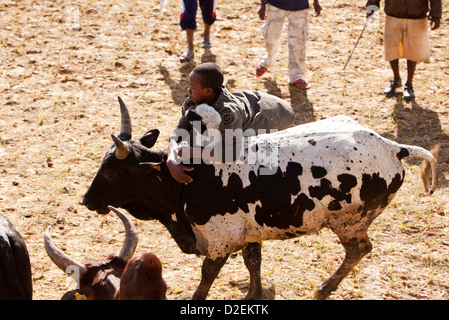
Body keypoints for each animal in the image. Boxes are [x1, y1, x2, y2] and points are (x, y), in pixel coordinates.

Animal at [81, 97, 434, 300]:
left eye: (111, 171)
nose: (86, 200)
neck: (188, 179)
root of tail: (393, 147)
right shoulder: (249, 234)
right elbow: (253, 262)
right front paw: (253, 293)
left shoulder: (220, 241)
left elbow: (206, 278)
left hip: (348, 222)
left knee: (359, 249)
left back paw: (324, 289)